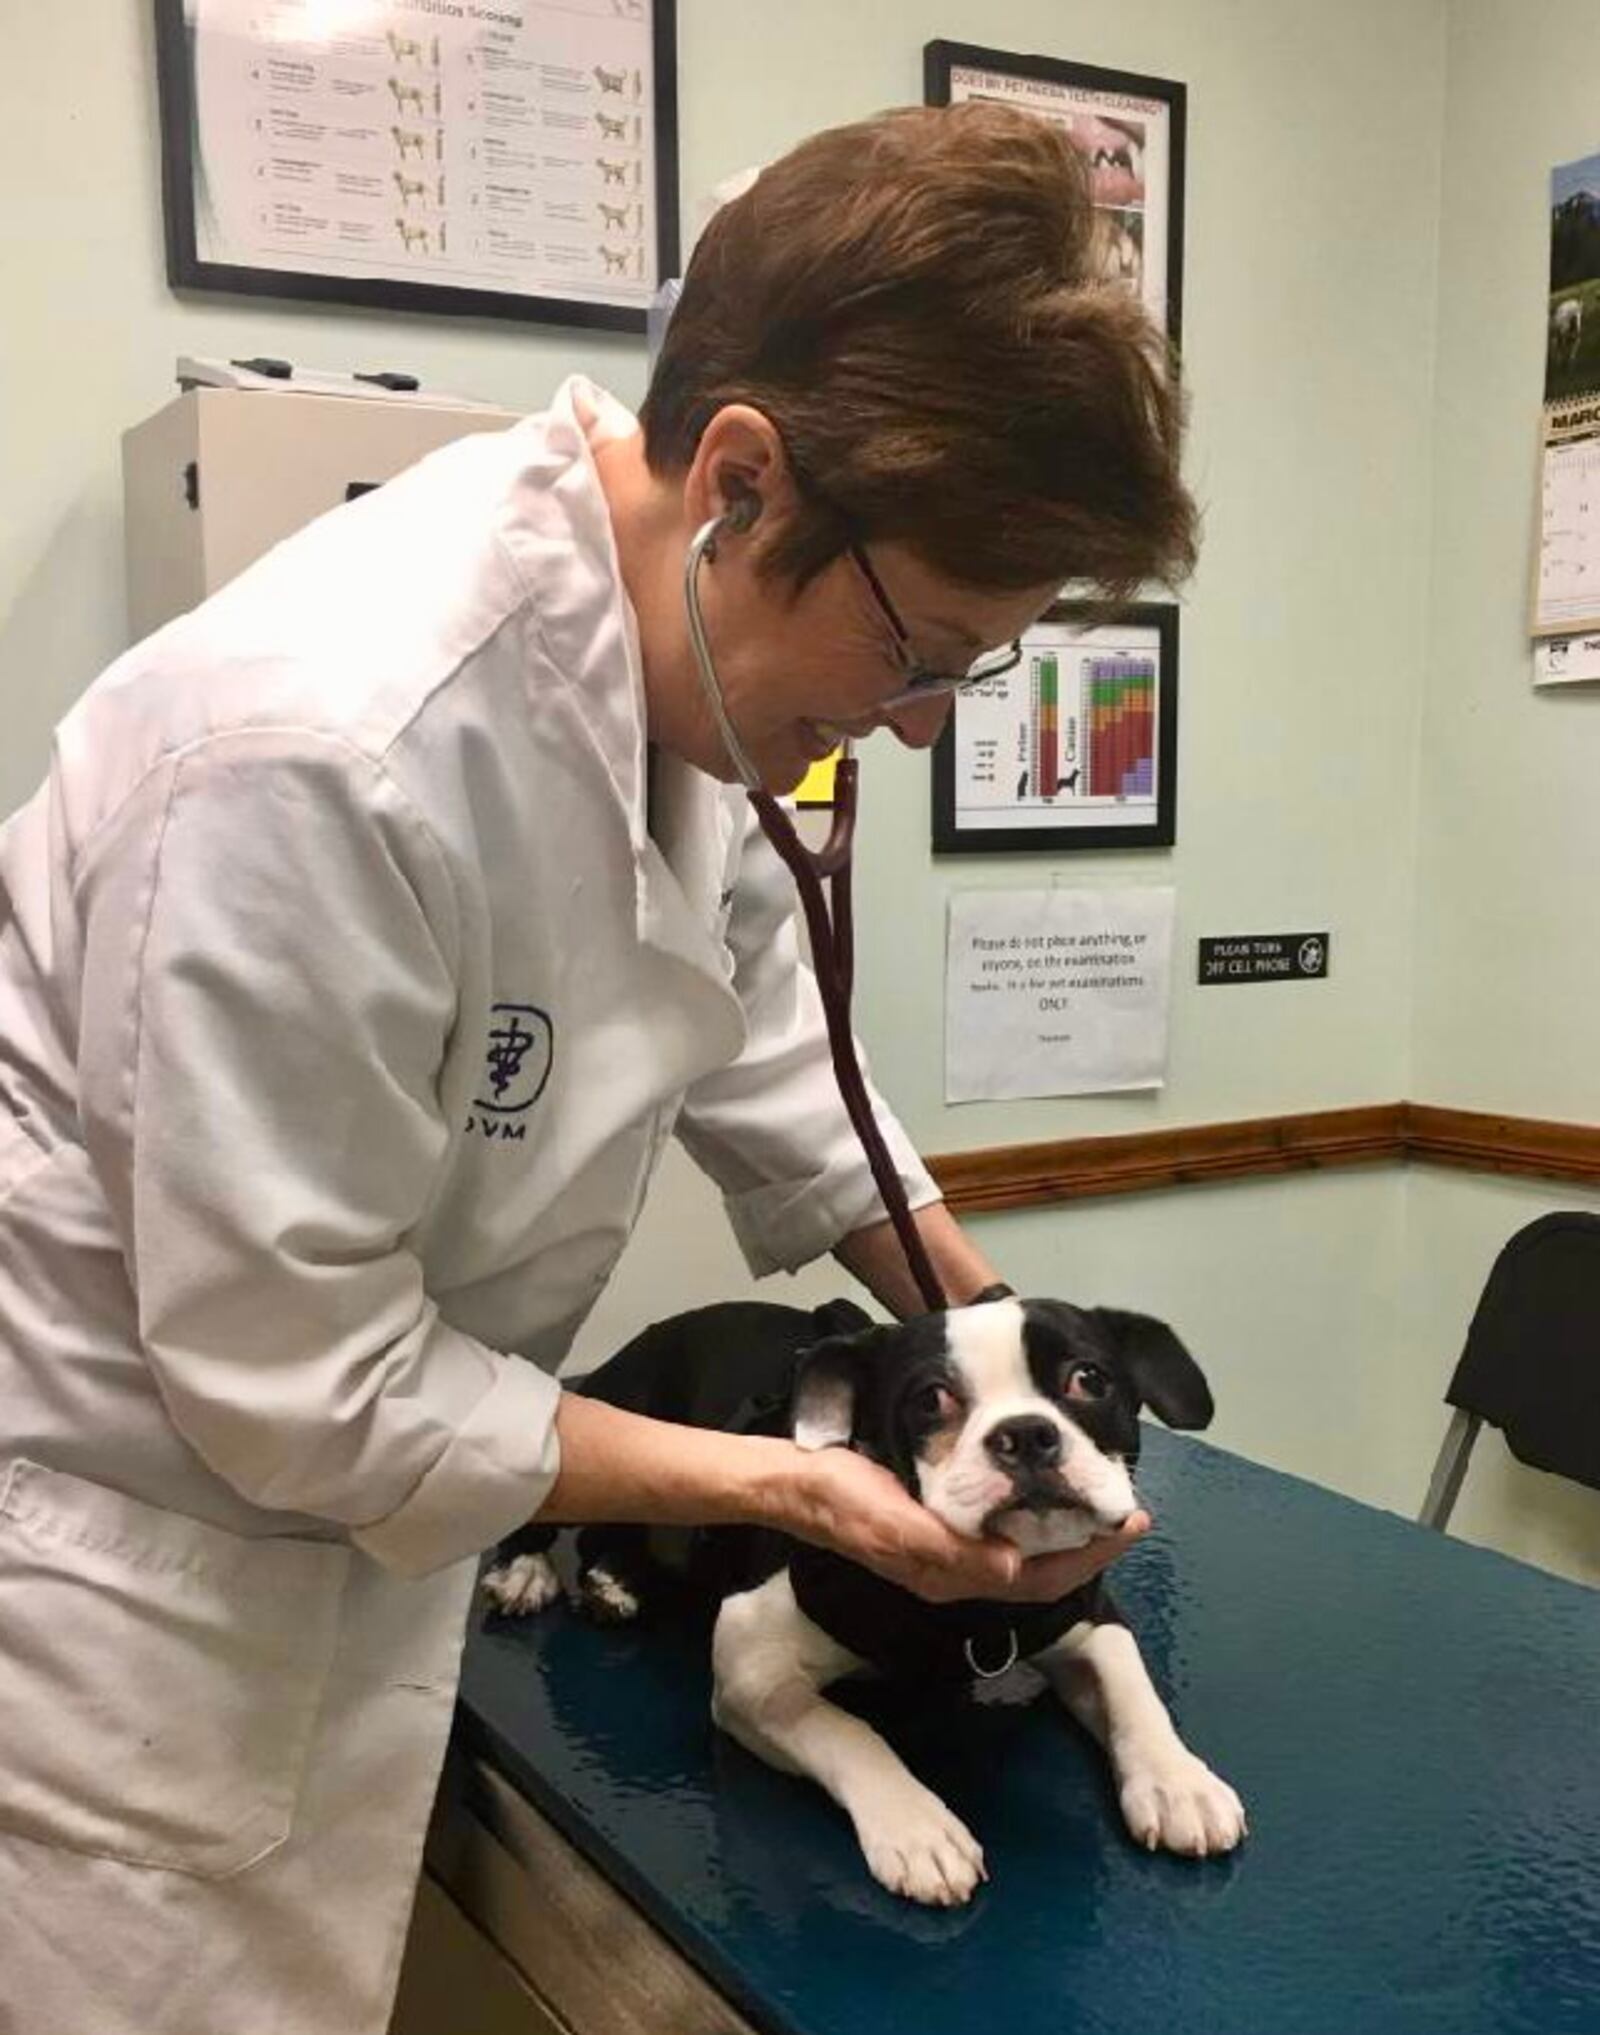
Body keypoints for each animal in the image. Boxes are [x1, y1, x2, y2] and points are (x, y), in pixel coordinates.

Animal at [480, 1294, 1237, 1896]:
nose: (1026, 1433)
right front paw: (916, 1826)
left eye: (1089, 1379)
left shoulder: (1085, 1619)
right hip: (616, 1422)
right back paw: (529, 1569)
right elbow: (850, 1731)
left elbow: (1132, 1688)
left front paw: (1178, 1781)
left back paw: (617, 1579)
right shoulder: (754, 1675)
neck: (967, 1614)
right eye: (931, 1399)